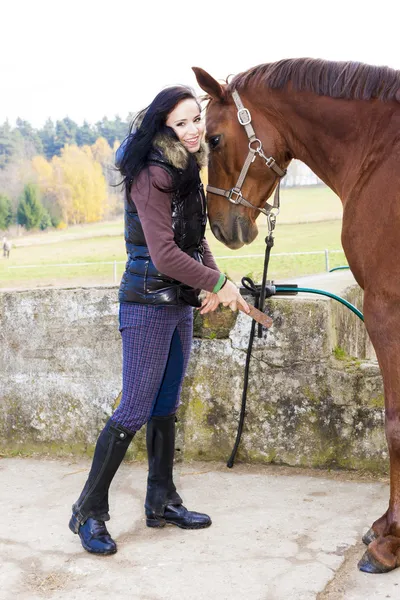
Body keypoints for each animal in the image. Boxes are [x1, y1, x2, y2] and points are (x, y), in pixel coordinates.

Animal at [194, 58, 400, 576]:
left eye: (214, 139)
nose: (221, 227)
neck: (382, 154)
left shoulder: (386, 307)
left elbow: (394, 422)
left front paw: (391, 540)